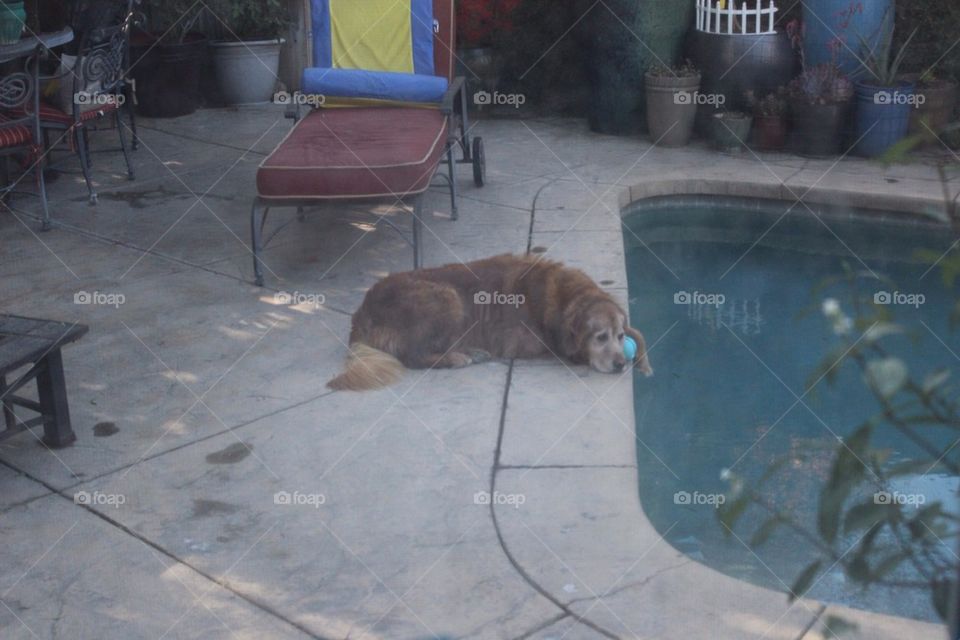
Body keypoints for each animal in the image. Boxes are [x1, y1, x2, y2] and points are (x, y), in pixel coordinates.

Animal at [328, 255, 652, 390]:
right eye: (600, 337)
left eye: (618, 336)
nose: (621, 364)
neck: (564, 296)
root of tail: (361, 311)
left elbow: (639, 332)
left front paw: (645, 363)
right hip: (448, 297)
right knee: (414, 356)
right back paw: (458, 358)